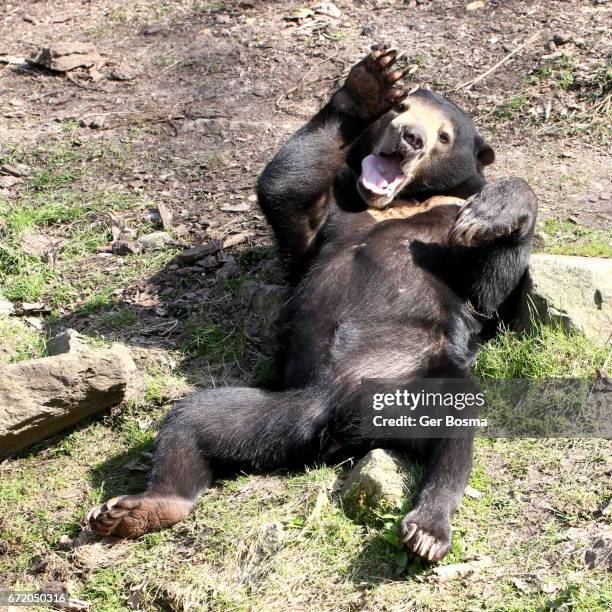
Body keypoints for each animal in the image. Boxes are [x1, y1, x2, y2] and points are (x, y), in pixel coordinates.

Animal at [86, 41, 536, 560]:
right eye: (402, 110)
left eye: (444, 136)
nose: (410, 138)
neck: (402, 201)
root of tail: (340, 425)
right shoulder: (331, 212)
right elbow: (288, 191)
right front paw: (371, 82)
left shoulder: (453, 241)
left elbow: (487, 292)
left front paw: (492, 213)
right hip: (281, 410)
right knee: (194, 421)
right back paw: (138, 509)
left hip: (420, 381)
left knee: (456, 426)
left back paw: (427, 529)